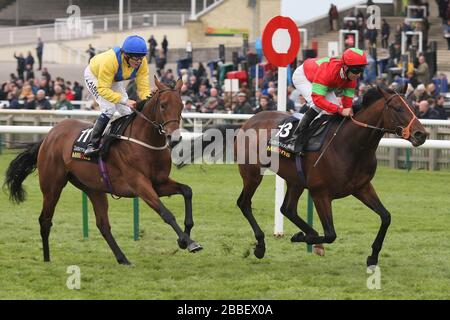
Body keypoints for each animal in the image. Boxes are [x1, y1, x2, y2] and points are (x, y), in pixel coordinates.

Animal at [3, 77, 202, 264]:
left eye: (181, 106)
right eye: (163, 105)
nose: (174, 138)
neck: (144, 143)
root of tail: (48, 136)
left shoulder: (159, 183)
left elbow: (187, 191)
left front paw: (185, 238)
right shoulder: (140, 185)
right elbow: (166, 213)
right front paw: (189, 242)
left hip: (94, 189)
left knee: (103, 225)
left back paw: (123, 259)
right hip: (52, 186)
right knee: (45, 220)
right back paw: (47, 259)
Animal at [234, 85, 428, 268]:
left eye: (412, 107)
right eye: (398, 108)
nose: (421, 134)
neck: (350, 146)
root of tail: (248, 121)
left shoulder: (362, 187)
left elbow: (386, 217)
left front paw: (372, 257)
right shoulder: (320, 193)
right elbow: (330, 234)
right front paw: (303, 238)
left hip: (295, 180)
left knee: (287, 209)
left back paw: (308, 234)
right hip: (252, 174)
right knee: (244, 203)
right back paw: (261, 245)